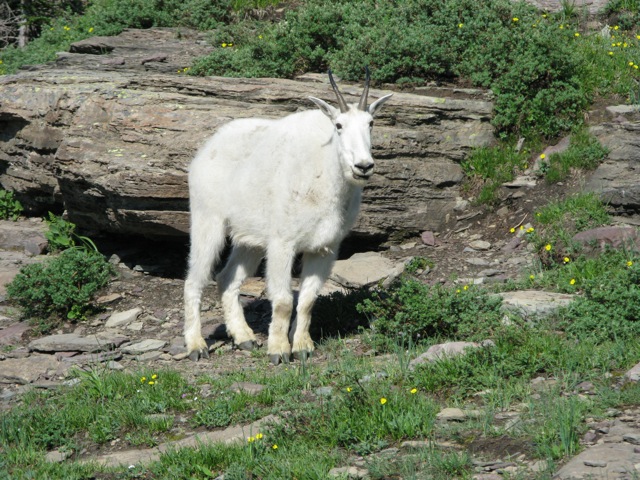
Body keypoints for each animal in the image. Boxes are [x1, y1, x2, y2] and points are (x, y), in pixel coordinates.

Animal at [183, 69, 392, 364]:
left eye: (371, 123)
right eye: (339, 125)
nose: (363, 166)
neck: (324, 176)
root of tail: (205, 150)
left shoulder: (325, 248)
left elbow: (307, 301)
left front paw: (302, 346)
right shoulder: (283, 243)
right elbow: (283, 301)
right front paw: (279, 351)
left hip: (249, 238)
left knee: (227, 278)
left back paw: (244, 338)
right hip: (207, 219)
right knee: (194, 280)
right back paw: (196, 346)